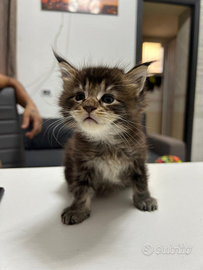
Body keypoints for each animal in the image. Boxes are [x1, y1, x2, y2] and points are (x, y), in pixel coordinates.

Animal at [54, 51, 158, 225]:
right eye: (79, 96)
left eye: (108, 99)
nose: (88, 107)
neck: (107, 140)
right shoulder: (81, 161)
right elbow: (81, 187)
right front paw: (78, 209)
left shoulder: (138, 155)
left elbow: (141, 179)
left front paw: (144, 199)